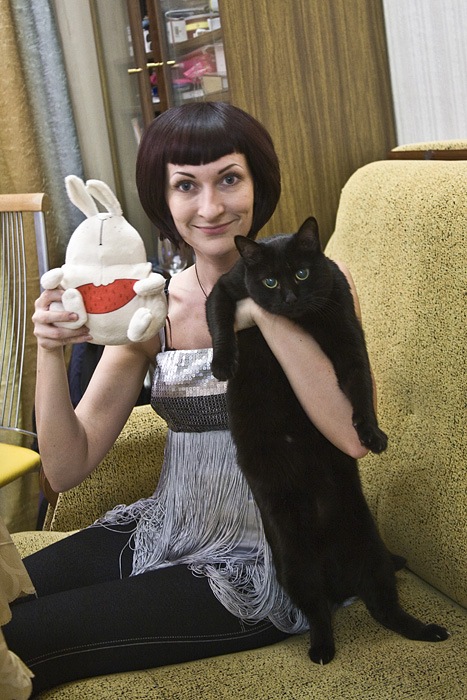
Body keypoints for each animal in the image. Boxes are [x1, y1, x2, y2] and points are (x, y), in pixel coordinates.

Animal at [206, 216, 449, 664]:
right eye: (268, 281)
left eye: (302, 273)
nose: (288, 297)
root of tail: (340, 579)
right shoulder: (225, 288)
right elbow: (219, 320)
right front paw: (222, 364)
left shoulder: (348, 338)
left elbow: (360, 389)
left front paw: (372, 435)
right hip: (295, 568)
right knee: (319, 614)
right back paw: (321, 650)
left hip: (372, 555)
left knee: (387, 611)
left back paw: (430, 631)